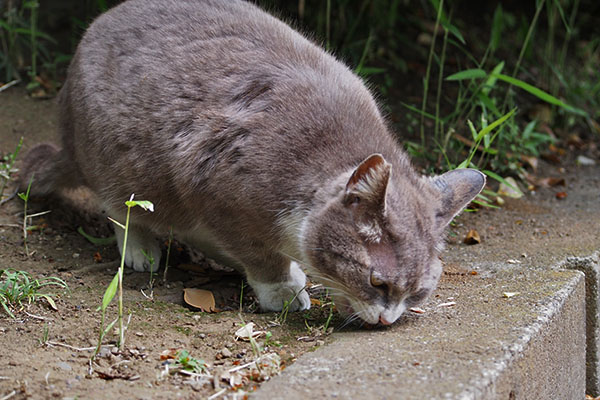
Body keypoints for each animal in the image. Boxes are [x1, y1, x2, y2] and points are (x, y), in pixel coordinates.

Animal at [21, 0, 486, 324]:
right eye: (377, 282)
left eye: (420, 292)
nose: (389, 320)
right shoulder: (218, 190)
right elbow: (259, 253)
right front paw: (283, 290)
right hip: (118, 162)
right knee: (123, 210)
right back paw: (140, 249)